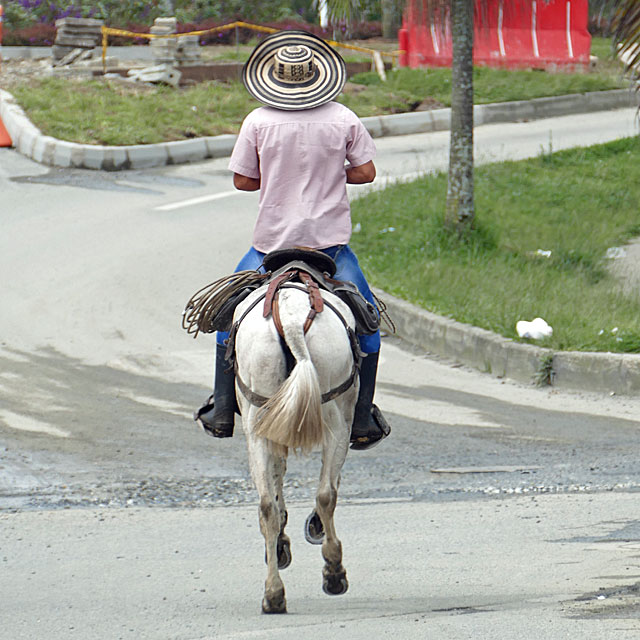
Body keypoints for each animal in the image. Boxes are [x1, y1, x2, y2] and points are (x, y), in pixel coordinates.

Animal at [232, 282, 360, 612]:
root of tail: (290, 319)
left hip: (259, 424)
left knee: (268, 505)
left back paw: (274, 593)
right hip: (335, 420)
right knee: (326, 494)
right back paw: (333, 572)